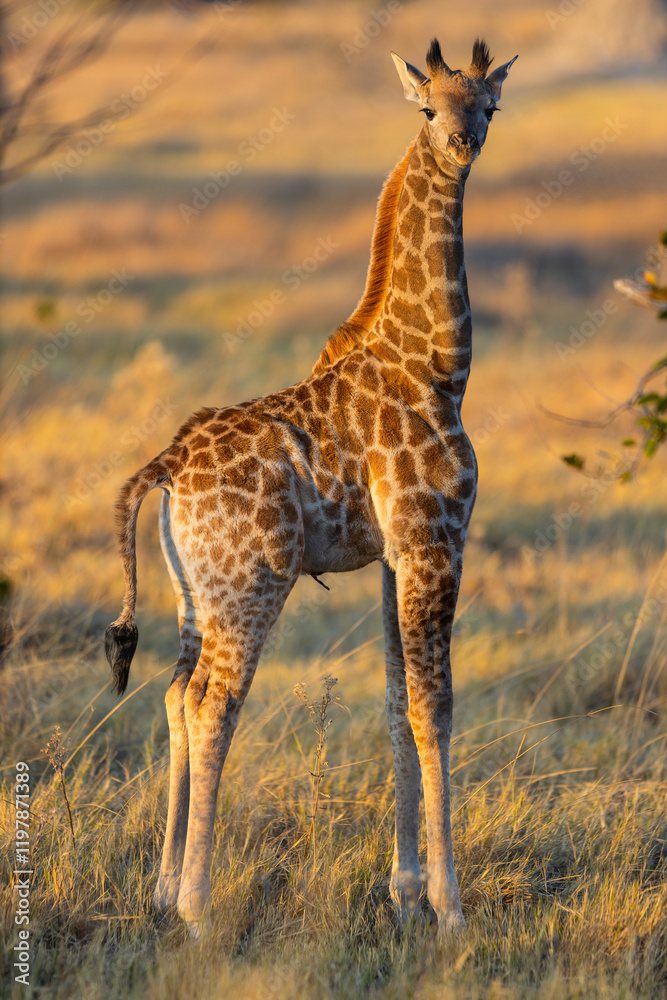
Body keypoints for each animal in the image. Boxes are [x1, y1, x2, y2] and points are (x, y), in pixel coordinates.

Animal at [105, 36, 516, 937]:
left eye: (488, 105)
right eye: (427, 106)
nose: (462, 144)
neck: (439, 365)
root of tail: (164, 467)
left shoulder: (397, 555)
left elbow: (396, 706)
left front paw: (404, 893)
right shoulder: (436, 539)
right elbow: (435, 708)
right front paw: (450, 908)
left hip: (196, 589)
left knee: (174, 694)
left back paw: (159, 891)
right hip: (251, 582)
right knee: (211, 704)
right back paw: (197, 909)